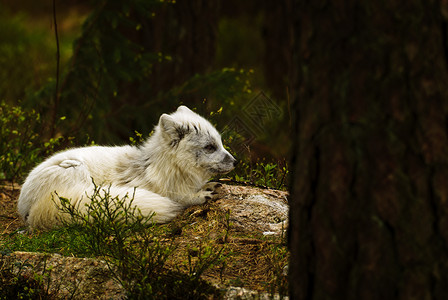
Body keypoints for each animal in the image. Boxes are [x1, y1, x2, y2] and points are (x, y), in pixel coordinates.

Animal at [16, 105, 238, 230]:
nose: (236, 162)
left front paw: (207, 187)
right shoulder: (166, 192)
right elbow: (182, 198)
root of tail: (27, 212)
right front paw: (201, 195)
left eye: (220, 143)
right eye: (210, 147)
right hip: (75, 171)